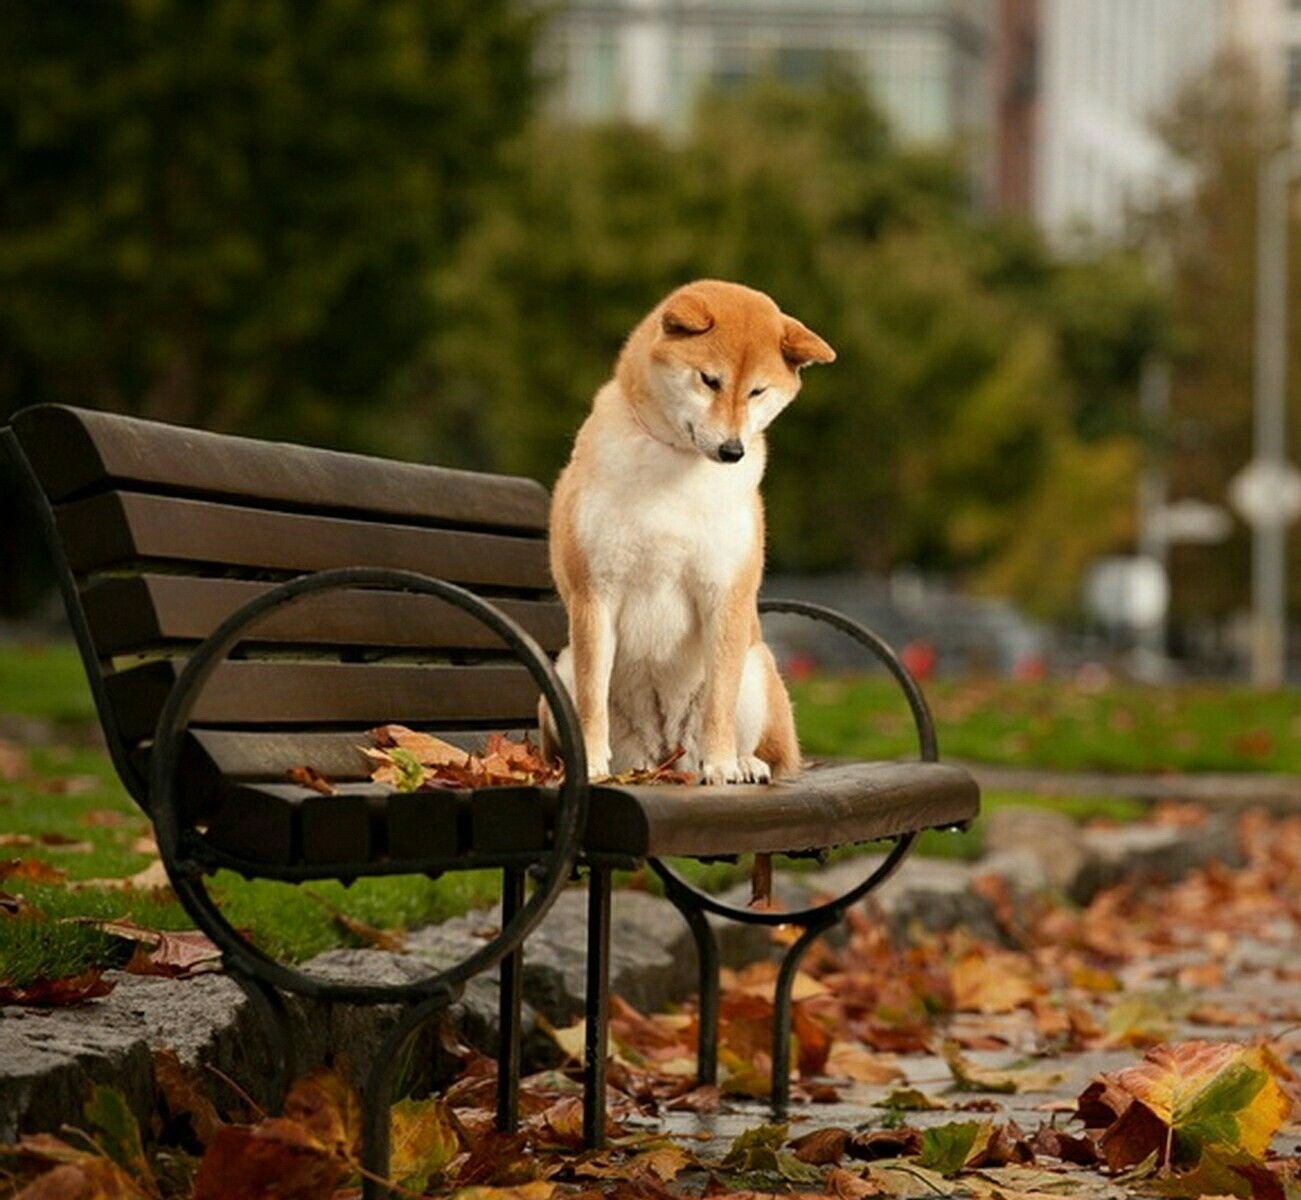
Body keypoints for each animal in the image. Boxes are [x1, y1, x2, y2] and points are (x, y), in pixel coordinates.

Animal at [538, 281, 832, 786]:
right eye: (709, 380)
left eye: (757, 391)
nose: (733, 450)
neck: (676, 465)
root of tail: (663, 756)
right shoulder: (595, 593)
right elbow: (591, 701)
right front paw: (590, 762)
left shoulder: (725, 595)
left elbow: (719, 702)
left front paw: (722, 765)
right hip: (562, 672)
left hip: (757, 666)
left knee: (762, 741)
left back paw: (744, 762)